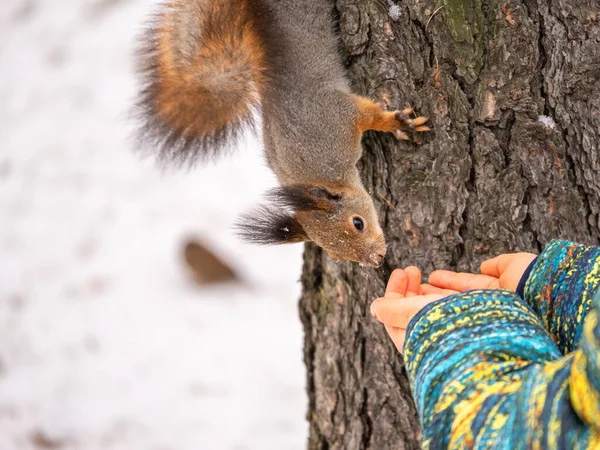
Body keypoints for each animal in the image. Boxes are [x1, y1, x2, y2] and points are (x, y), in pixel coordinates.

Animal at [137, 0, 426, 268]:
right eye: (335, 254)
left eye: (358, 223)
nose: (377, 260)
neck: (316, 173)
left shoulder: (335, 115)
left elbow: (369, 115)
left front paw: (397, 124)